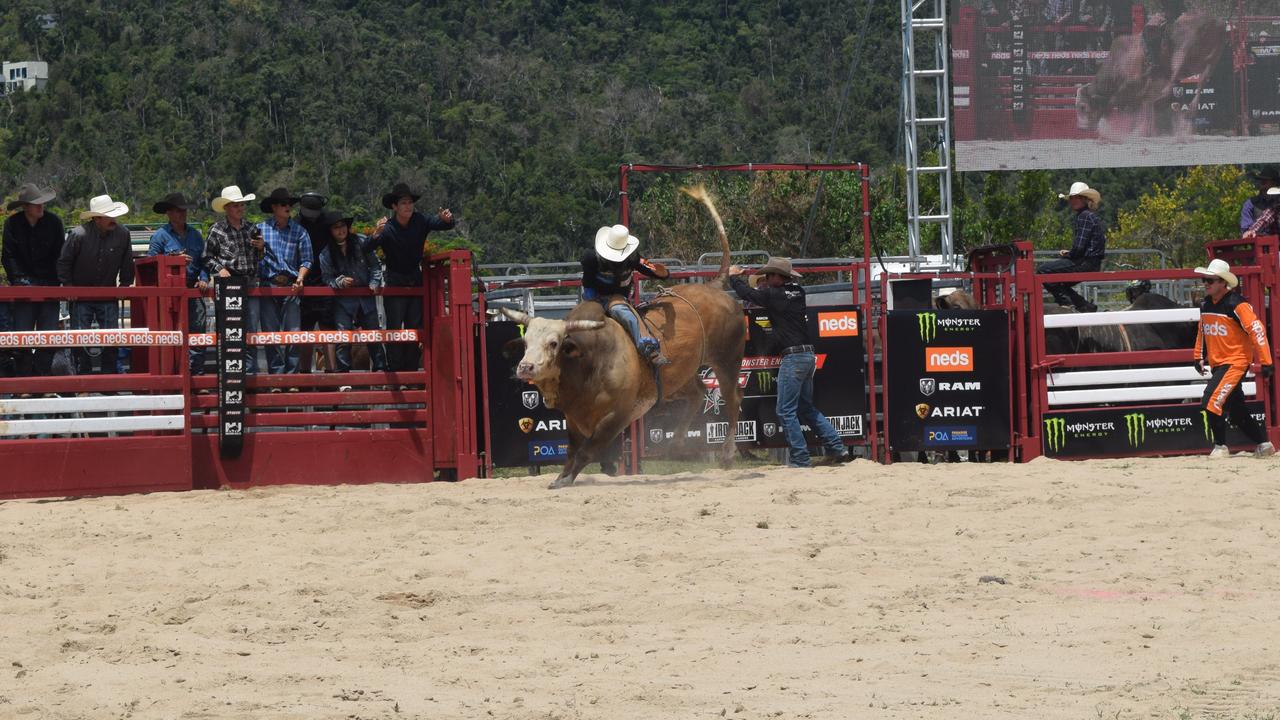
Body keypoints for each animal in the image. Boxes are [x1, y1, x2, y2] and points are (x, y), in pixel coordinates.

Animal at [494, 184, 747, 486]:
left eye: (554, 343)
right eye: (526, 343)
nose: (525, 367)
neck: (587, 362)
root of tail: (715, 286)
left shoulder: (618, 416)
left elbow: (588, 450)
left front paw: (569, 478)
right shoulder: (573, 416)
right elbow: (573, 449)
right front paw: (562, 477)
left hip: (728, 359)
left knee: (733, 400)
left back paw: (727, 454)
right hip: (679, 375)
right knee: (698, 393)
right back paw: (676, 443)